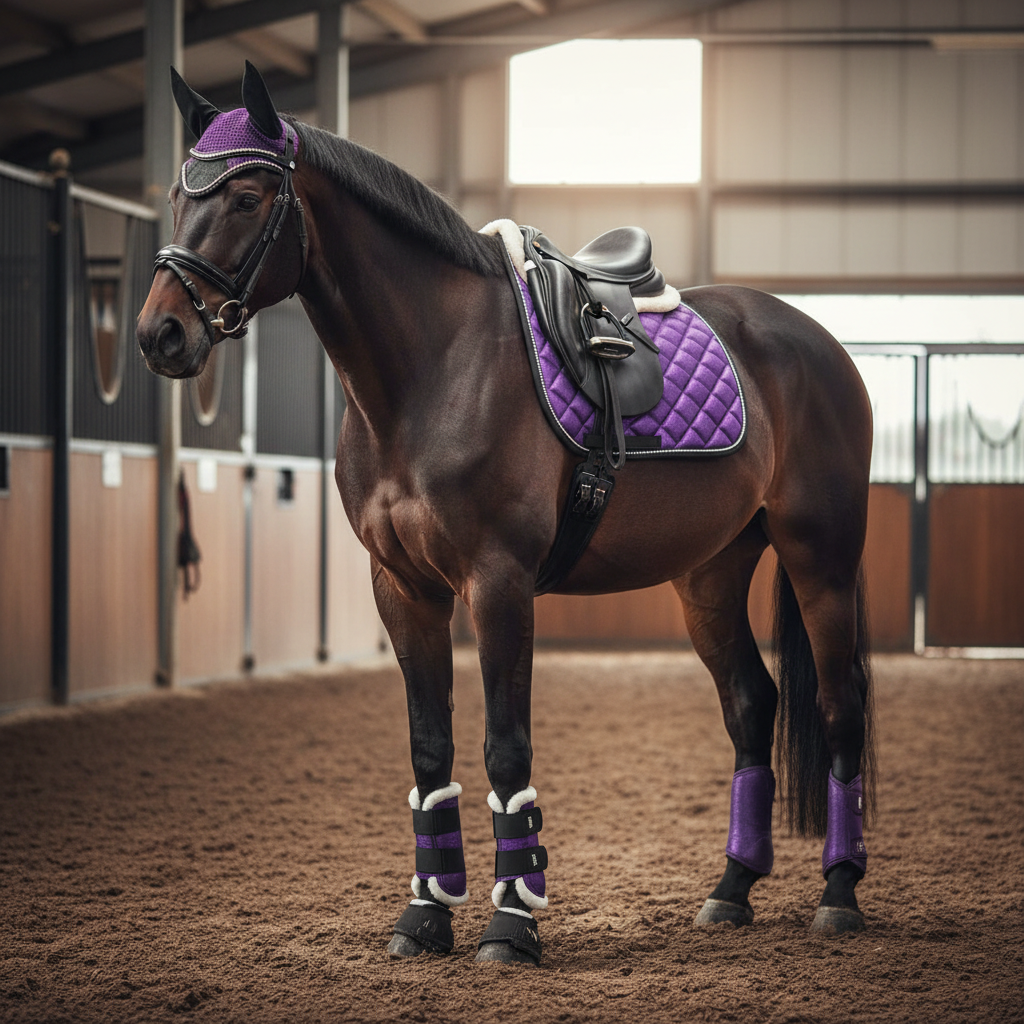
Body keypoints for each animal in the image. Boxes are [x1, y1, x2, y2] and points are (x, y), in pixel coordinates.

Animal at [138, 63, 875, 966]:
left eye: (246, 196)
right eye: (179, 195)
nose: (161, 333)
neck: (433, 368)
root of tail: (814, 338)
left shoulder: (498, 584)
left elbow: (504, 745)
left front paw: (512, 923)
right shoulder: (404, 589)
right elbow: (431, 749)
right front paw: (425, 915)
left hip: (820, 558)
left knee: (839, 707)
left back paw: (839, 892)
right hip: (710, 573)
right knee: (750, 705)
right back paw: (731, 888)